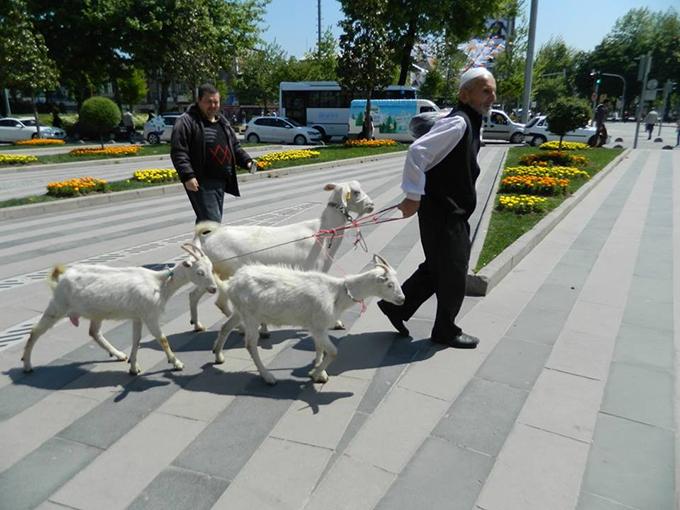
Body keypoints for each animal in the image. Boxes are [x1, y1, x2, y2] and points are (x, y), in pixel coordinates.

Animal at [22, 243, 216, 374]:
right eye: (199, 272)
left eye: (211, 268)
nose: (214, 288)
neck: (160, 284)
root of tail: (61, 277)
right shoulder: (150, 315)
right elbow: (162, 339)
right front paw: (176, 363)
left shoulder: (138, 317)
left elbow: (136, 340)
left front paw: (133, 367)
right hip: (58, 305)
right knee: (35, 330)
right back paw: (27, 364)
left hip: (95, 313)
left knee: (94, 332)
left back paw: (118, 354)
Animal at [189, 181, 374, 332]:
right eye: (356, 192)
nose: (371, 205)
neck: (323, 232)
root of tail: (206, 239)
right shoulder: (312, 270)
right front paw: (336, 323)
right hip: (228, 272)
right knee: (220, 302)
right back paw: (242, 328)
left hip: (210, 274)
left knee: (194, 294)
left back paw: (198, 325)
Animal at [212, 253, 404, 384]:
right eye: (389, 284)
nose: (402, 299)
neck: (337, 293)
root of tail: (231, 282)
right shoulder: (318, 325)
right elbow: (333, 351)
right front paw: (316, 374)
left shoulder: (317, 326)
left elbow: (319, 347)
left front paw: (318, 369)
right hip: (251, 316)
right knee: (250, 344)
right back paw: (268, 376)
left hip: (240, 311)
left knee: (226, 327)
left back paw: (218, 355)